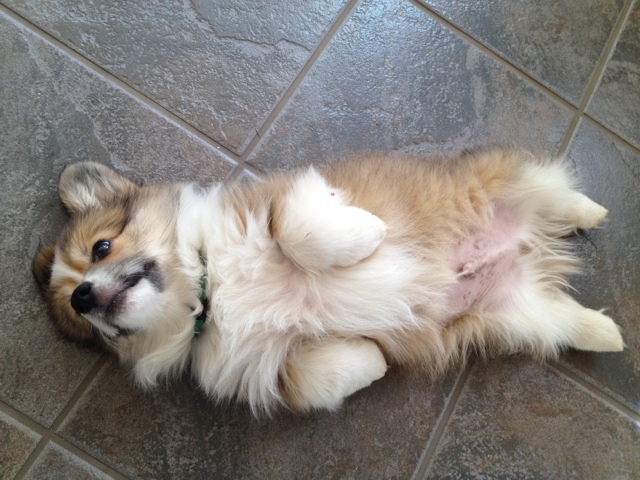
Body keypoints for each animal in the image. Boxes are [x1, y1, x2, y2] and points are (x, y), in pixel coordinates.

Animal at [33, 148, 624, 415]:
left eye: (101, 248)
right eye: (80, 318)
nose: (83, 296)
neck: (210, 292)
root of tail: (525, 246)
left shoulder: (281, 202)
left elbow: (301, 230)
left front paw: (370, 232)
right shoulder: (279, 362)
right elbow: (316, 380)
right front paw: (375, 359)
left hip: (500, 184)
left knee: (552, 189)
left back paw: (591, 211)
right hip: (520, 317)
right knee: (566, 320)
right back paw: (607, 333)